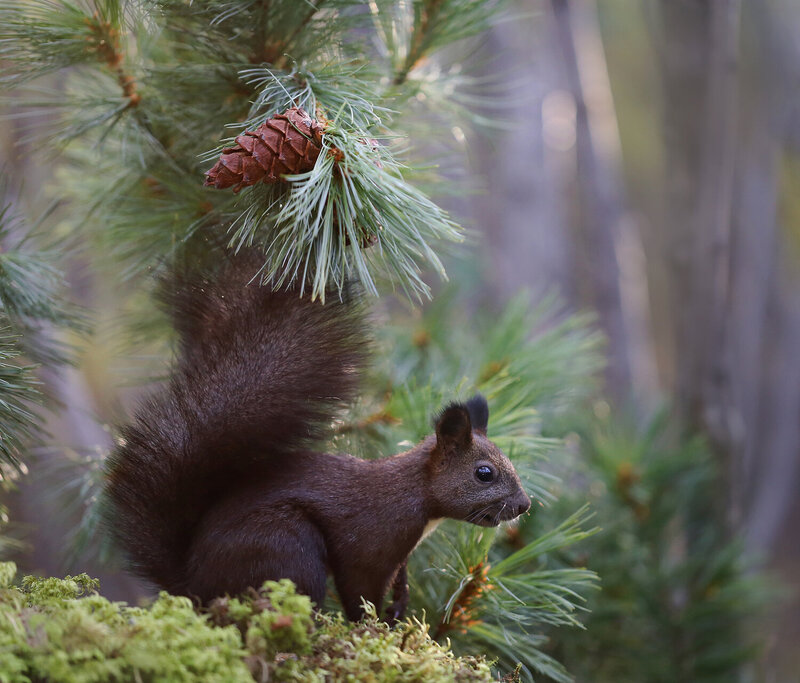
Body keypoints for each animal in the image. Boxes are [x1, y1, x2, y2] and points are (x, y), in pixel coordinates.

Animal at [104, 251, 531, 622]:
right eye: (484, 473)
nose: (524, 505)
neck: (419, 496)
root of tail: (194, 584)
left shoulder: (401, 557)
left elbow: (400, 582)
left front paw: (398, 610)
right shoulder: (370, 544)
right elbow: (360, 589)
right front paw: (373, 626)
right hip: (285, 544)